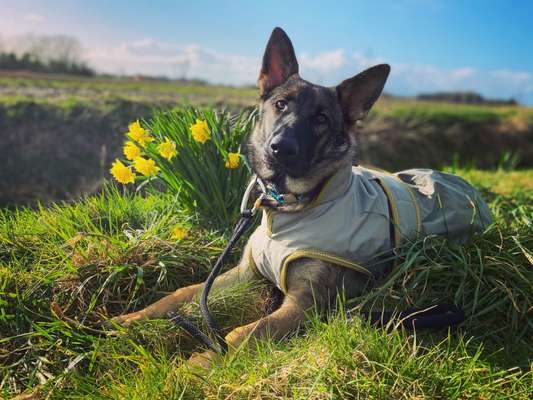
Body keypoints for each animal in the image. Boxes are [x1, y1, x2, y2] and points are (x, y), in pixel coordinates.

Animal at [112, 26, 490, 368]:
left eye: (321, 119)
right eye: (280, 105)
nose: (281, 148)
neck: (291, 207)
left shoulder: (304, 305)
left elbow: (241, 333)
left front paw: (198, 366)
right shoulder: (244, 274)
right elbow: (180, 295)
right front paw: (129, 321)